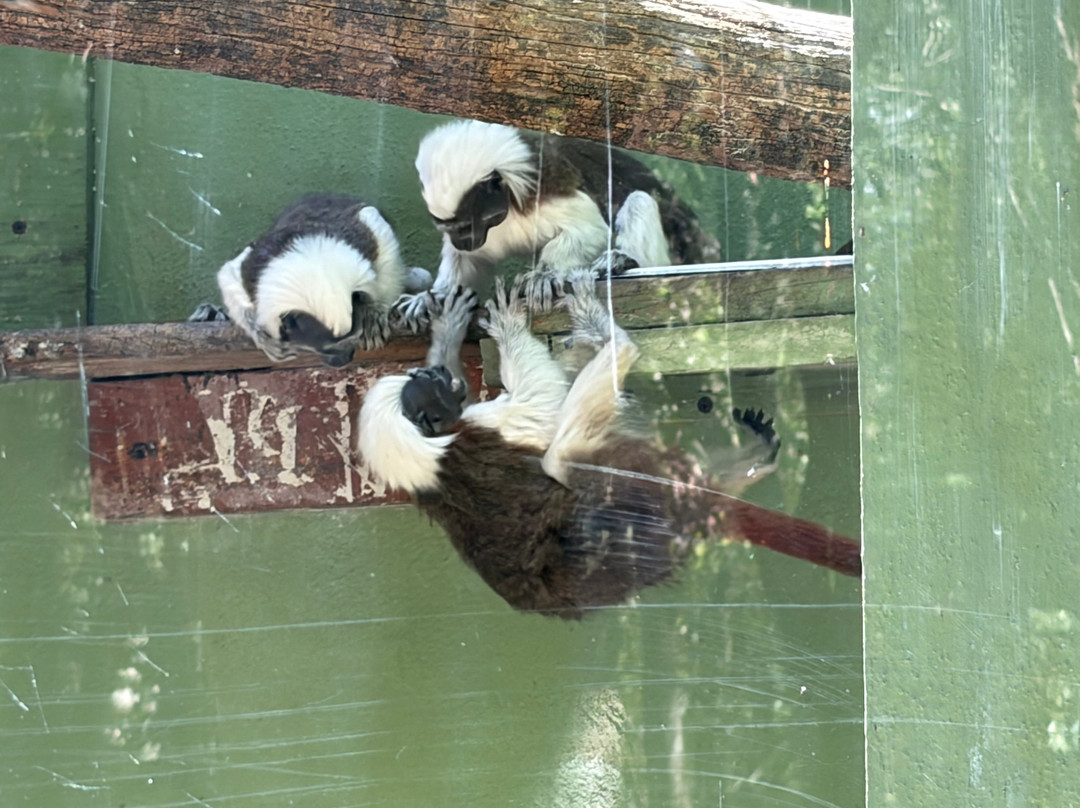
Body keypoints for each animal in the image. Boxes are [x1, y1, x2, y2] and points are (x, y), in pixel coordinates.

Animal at [208, 193, 432, 366]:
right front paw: (260, 335)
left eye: (353, 341)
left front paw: (374, 312)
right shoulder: (251, 268)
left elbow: (379, 232)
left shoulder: (365, 236)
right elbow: (229, 276)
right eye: (328, 349)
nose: (343, 361)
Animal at [358, 276, 860, 619]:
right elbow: (544, 401)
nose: (445, 381)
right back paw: (618, 342)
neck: (427, 456)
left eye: (433, 379)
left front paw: (447, 326)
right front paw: (506, 325)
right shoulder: (481, 427)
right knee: (562, 456)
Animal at [394, 120, 721, 330]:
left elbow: (590, 230)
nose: (464, 241)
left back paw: (625, 260)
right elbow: (469, 261)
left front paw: (545, 275)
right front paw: (433, 297)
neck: (508, 209)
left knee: (639, 200)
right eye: (452, 230)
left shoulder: (543, 191)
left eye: (464, 228)